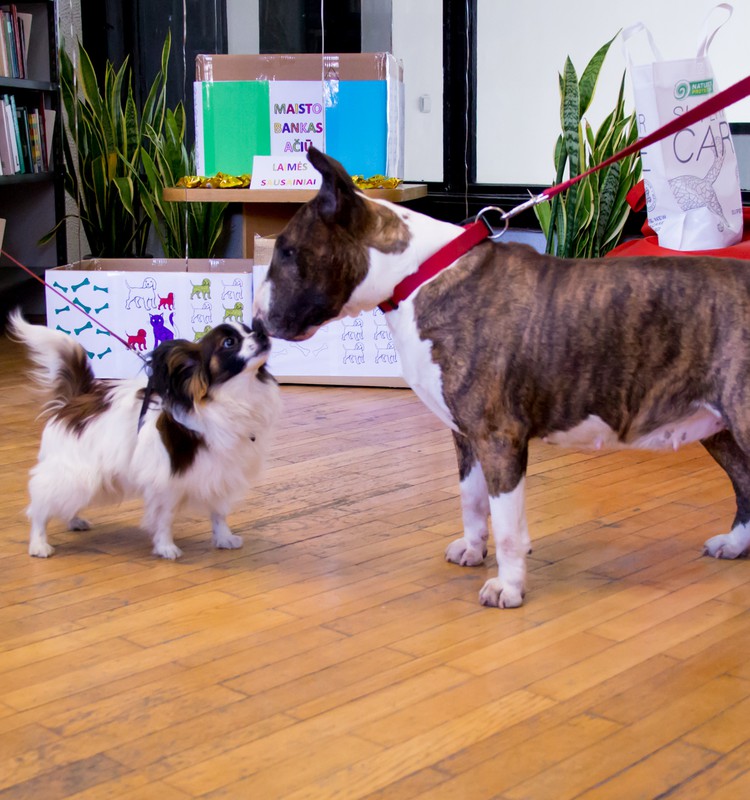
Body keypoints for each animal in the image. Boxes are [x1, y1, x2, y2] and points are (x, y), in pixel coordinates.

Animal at [9, 310, 280, 560]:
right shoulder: (166, 481)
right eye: (229, 343)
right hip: (75, 474)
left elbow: (219, 512)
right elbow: (165, 518)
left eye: (249, 330)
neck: (233, 397)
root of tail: (77, 398)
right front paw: (166, 547)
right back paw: (39, 544)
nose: (262, 333)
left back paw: (74, 521)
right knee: (40, 507)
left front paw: (223, 538)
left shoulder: (220, 471)